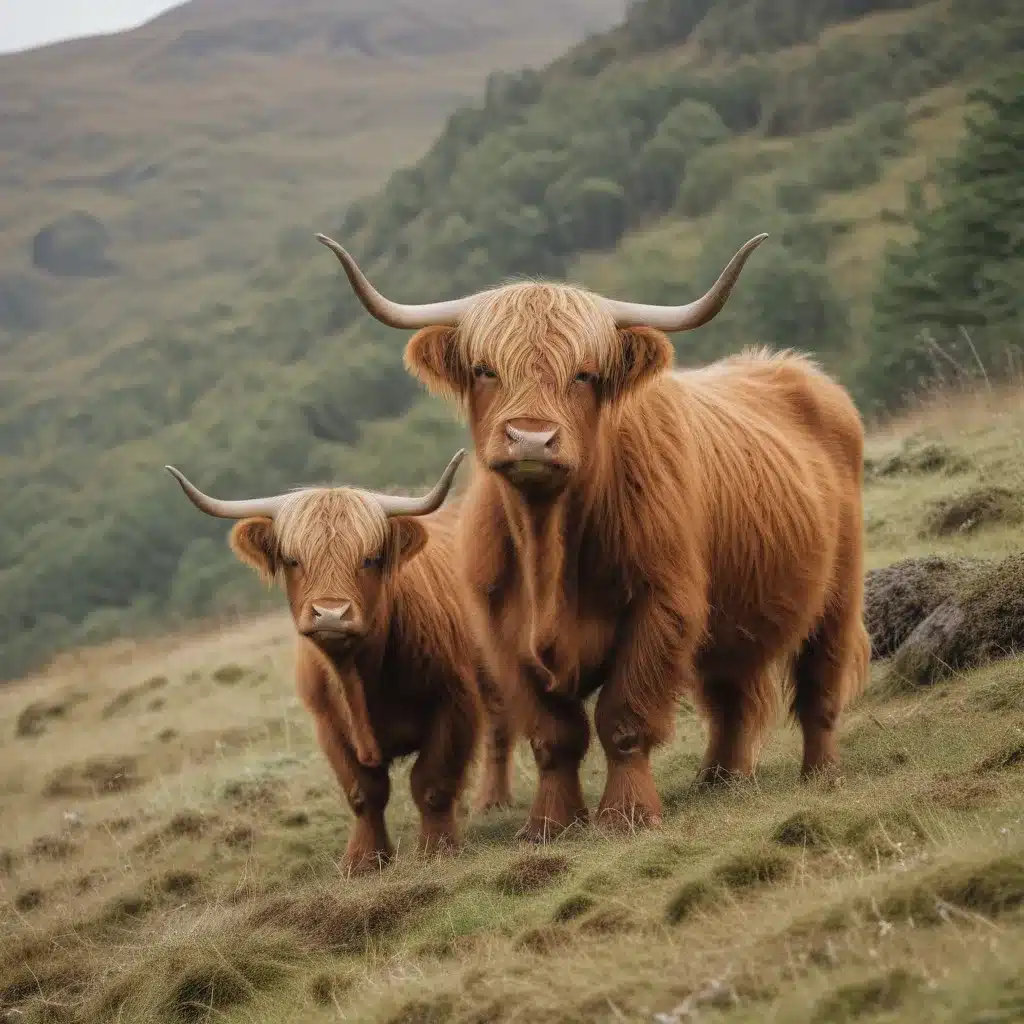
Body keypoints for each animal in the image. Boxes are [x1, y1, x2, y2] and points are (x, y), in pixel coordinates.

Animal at [165, 454, 512, 872]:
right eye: (292, 560)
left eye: (370, 559)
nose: (330, 614)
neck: (356, 676)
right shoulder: (328, 723)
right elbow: (364, 792)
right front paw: (363, 860)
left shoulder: (453, 701)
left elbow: (432, 782)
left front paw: (437, 848)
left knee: (499, 729)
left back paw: (492, 801)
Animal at [317, 232, 872, 839]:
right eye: (486, 370)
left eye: (584, 374)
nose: (531, 439)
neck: (546, 545)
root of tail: (794, 368)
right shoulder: (502, 633)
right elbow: (554, 737)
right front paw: (550, 824)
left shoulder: (662, 609)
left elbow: (623, 719)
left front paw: (627, 814)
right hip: (734, 619)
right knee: (731, 696)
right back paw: (720, 779)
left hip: (839, 591)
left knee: (819, 682)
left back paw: (820, 773)